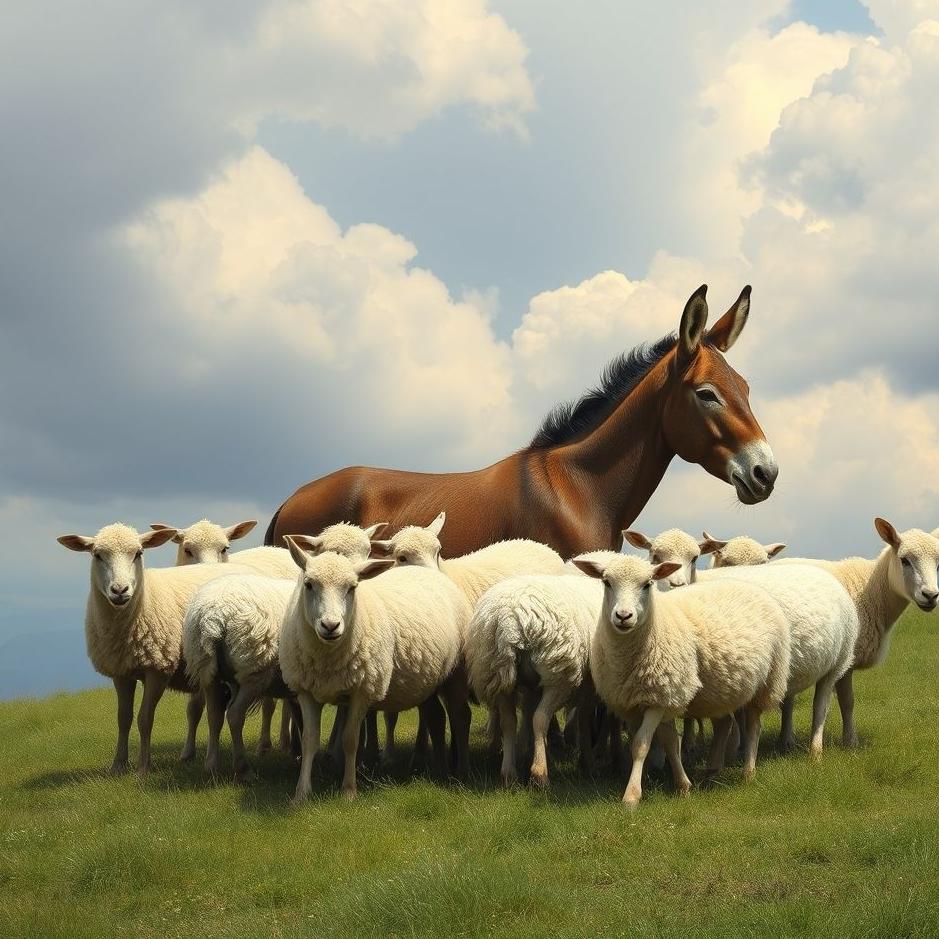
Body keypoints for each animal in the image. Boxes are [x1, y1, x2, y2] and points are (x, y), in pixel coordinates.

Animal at [56, 523, 256, 775]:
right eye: (97, 555)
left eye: (138, 553)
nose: (119, 590)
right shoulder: (121, 671)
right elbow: (123, 718)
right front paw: (118, 766)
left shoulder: (158, 670)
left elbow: (145, 719)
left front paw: (143, 768)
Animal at [279, 543, 473, 802]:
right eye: (309, 584)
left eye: (352, 587)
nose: (330, 626)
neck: (327, 658)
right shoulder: (306, 691)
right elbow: (310, 740)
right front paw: (301, 794)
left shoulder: (362, 691)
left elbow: (350, 740)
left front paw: (348, 791)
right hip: (428, 679)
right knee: (436, 717)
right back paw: (439, 770)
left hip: (456, 672)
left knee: (461, 716)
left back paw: (462, 771)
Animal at [466, 570, 604, 787]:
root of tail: (510, 620)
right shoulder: (590, 687)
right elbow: (583, 719)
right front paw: (588, 763)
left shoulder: (531, 686)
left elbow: (527, 715)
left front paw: (525, 752)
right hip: (558, 673)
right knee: (540, 718)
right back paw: (539, 773)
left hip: (495, 672)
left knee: (509, 721)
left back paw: (509, 773)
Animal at [573, 551, 791, 805]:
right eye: (607, 582)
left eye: (647, 584)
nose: (623, 616)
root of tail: (750, 586)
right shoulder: (641, 700)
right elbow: (666, 742)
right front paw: (681, 785)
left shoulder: (661, 696)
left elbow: (641, 744)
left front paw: (632, 795)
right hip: (718, 689)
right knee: (724, 723)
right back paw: (711, 771)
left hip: (769, 679)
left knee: (754, 724)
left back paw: (748, 772)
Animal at [778, 518, 939, 747]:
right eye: (904, 560)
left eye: (938, 563)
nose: (931, 595)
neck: (874, 590)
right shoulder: (847, 659)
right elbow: (848, 702)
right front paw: (850, 741)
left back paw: (786, 741)